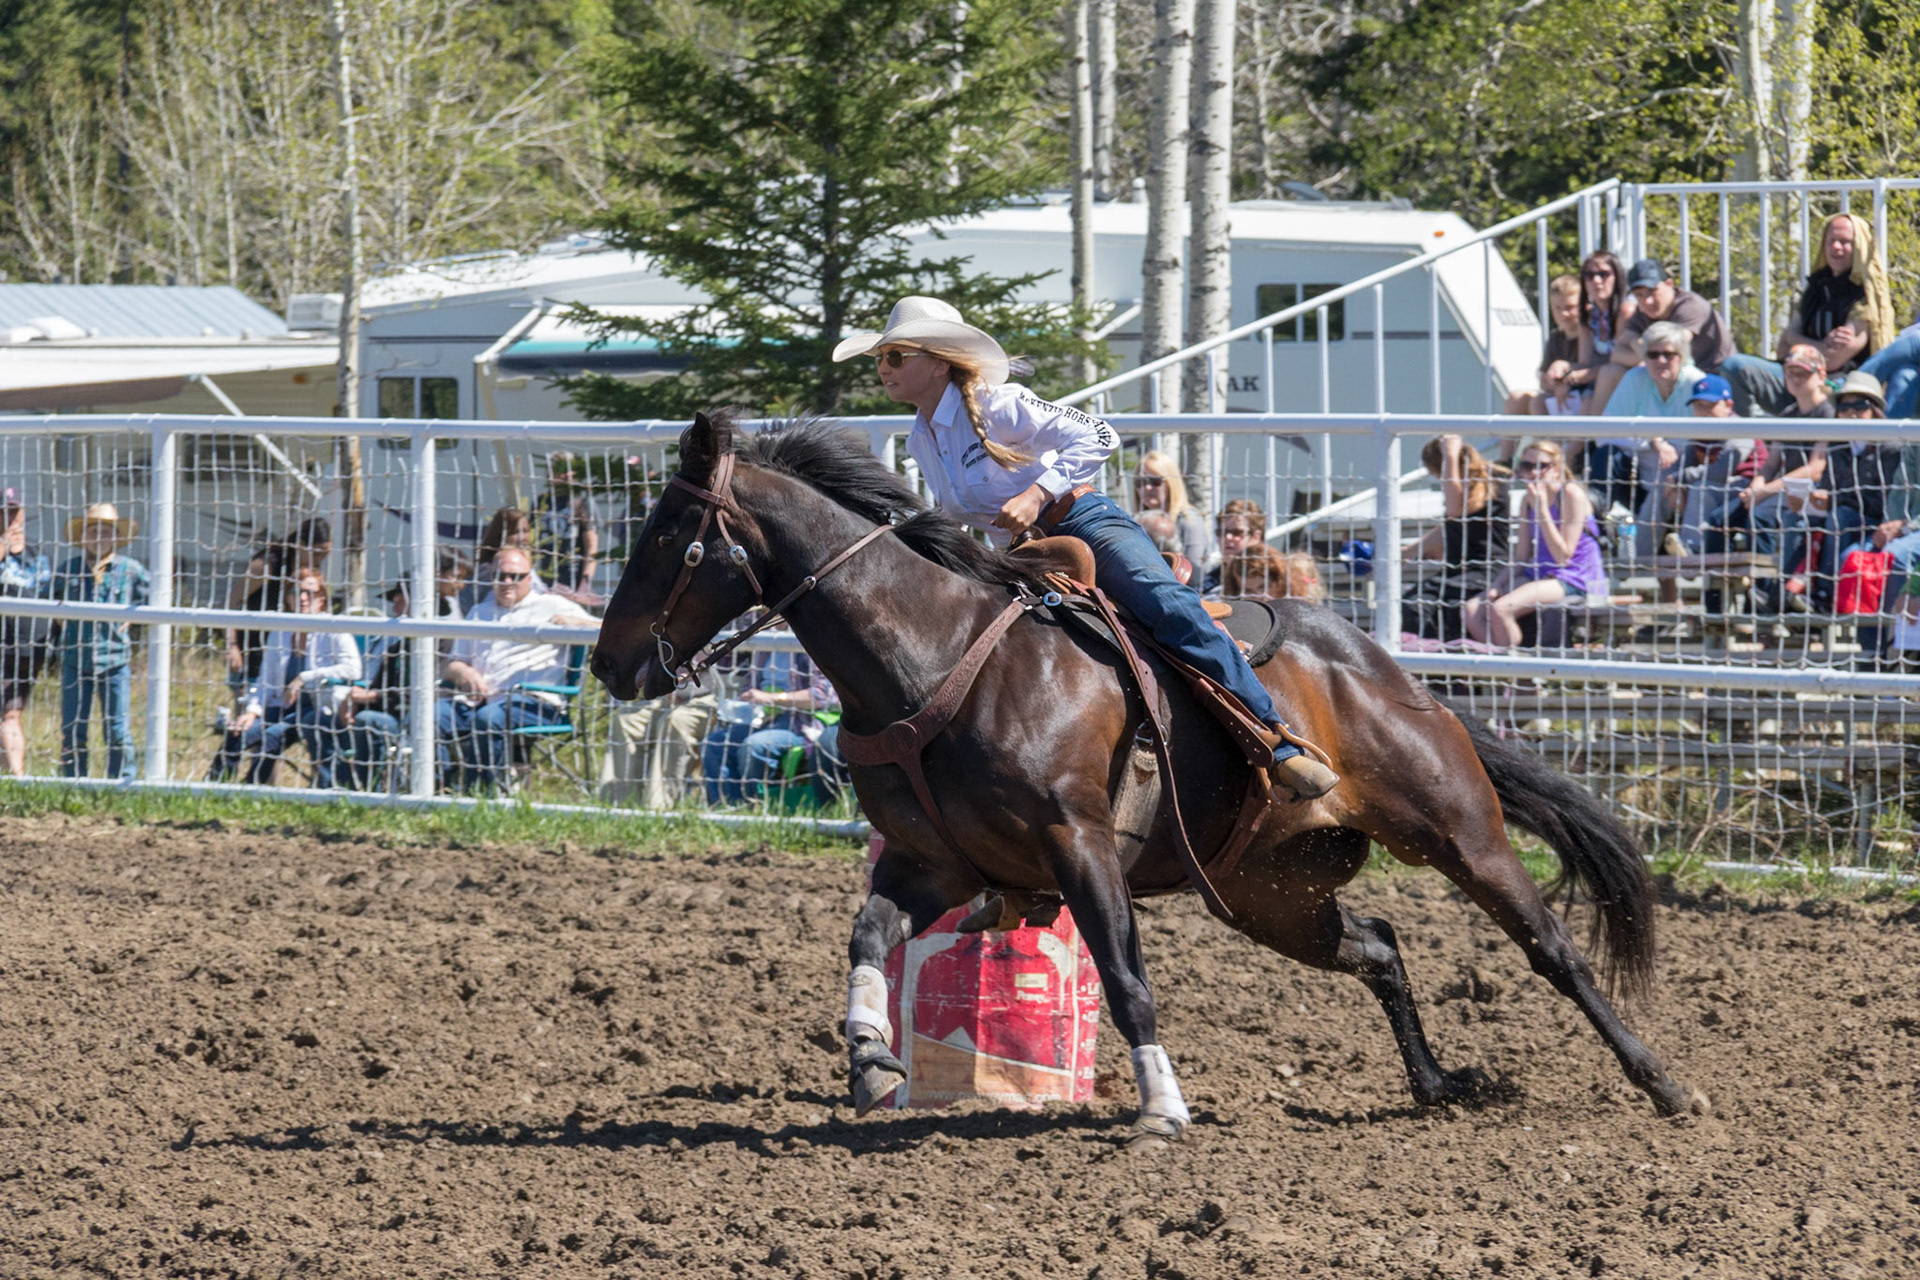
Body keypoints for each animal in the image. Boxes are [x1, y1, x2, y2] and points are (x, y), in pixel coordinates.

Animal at [589, 411, 1705, 1140]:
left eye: (673, 538)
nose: (606, 664)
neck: (935, 651)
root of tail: (1387, 670)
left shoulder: (1078, 843)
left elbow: (1126, 977)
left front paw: (1163, 1108)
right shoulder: (929, 861)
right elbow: (866, 936)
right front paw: (869, 1058)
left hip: (1455, 828)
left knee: (1552, 947)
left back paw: (1665, 1083)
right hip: (1270, 894)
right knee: (1380, 946)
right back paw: (1434, 1083)